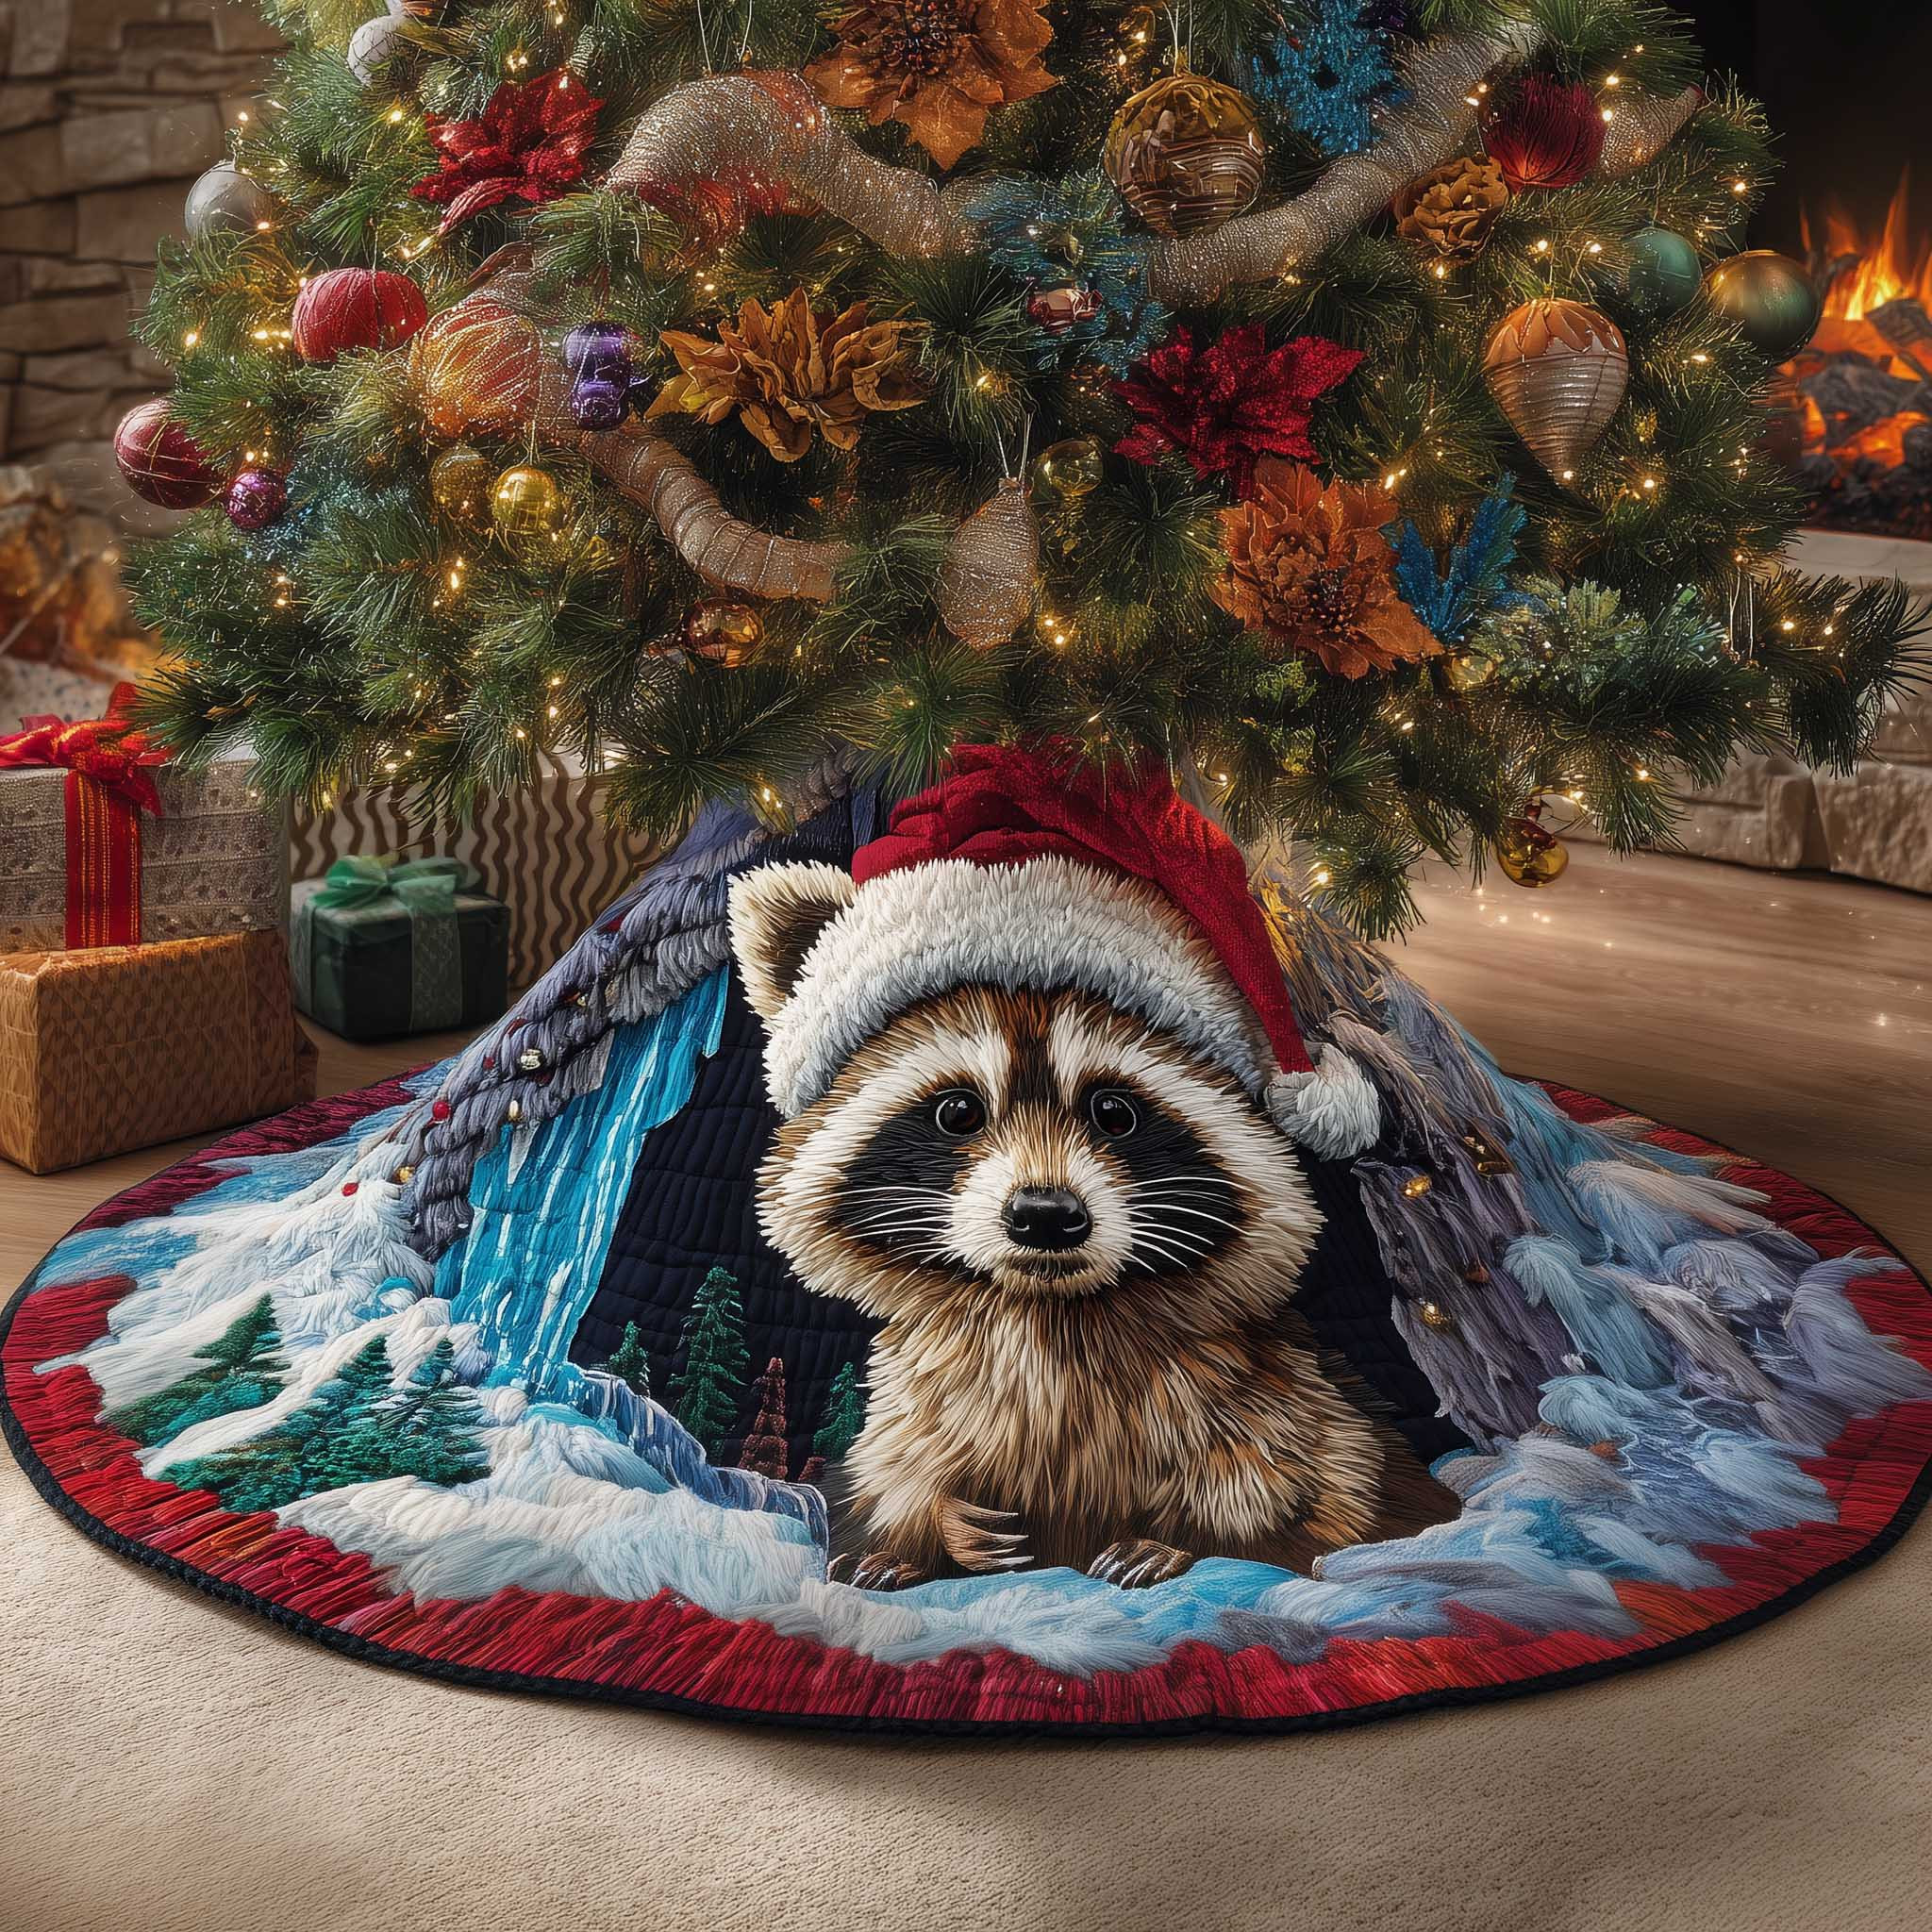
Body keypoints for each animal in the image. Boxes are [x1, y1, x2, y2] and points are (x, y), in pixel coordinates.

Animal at [731, 860, 1452, 1589]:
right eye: (958, 1111)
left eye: (1114, 1111)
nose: (1045, 1217)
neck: (1045, 1311)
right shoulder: (922, 1407)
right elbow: (892, 1480)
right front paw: (926, 1530)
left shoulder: (1276, 1401)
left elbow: (1322, 1495)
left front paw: (1180, 1538)